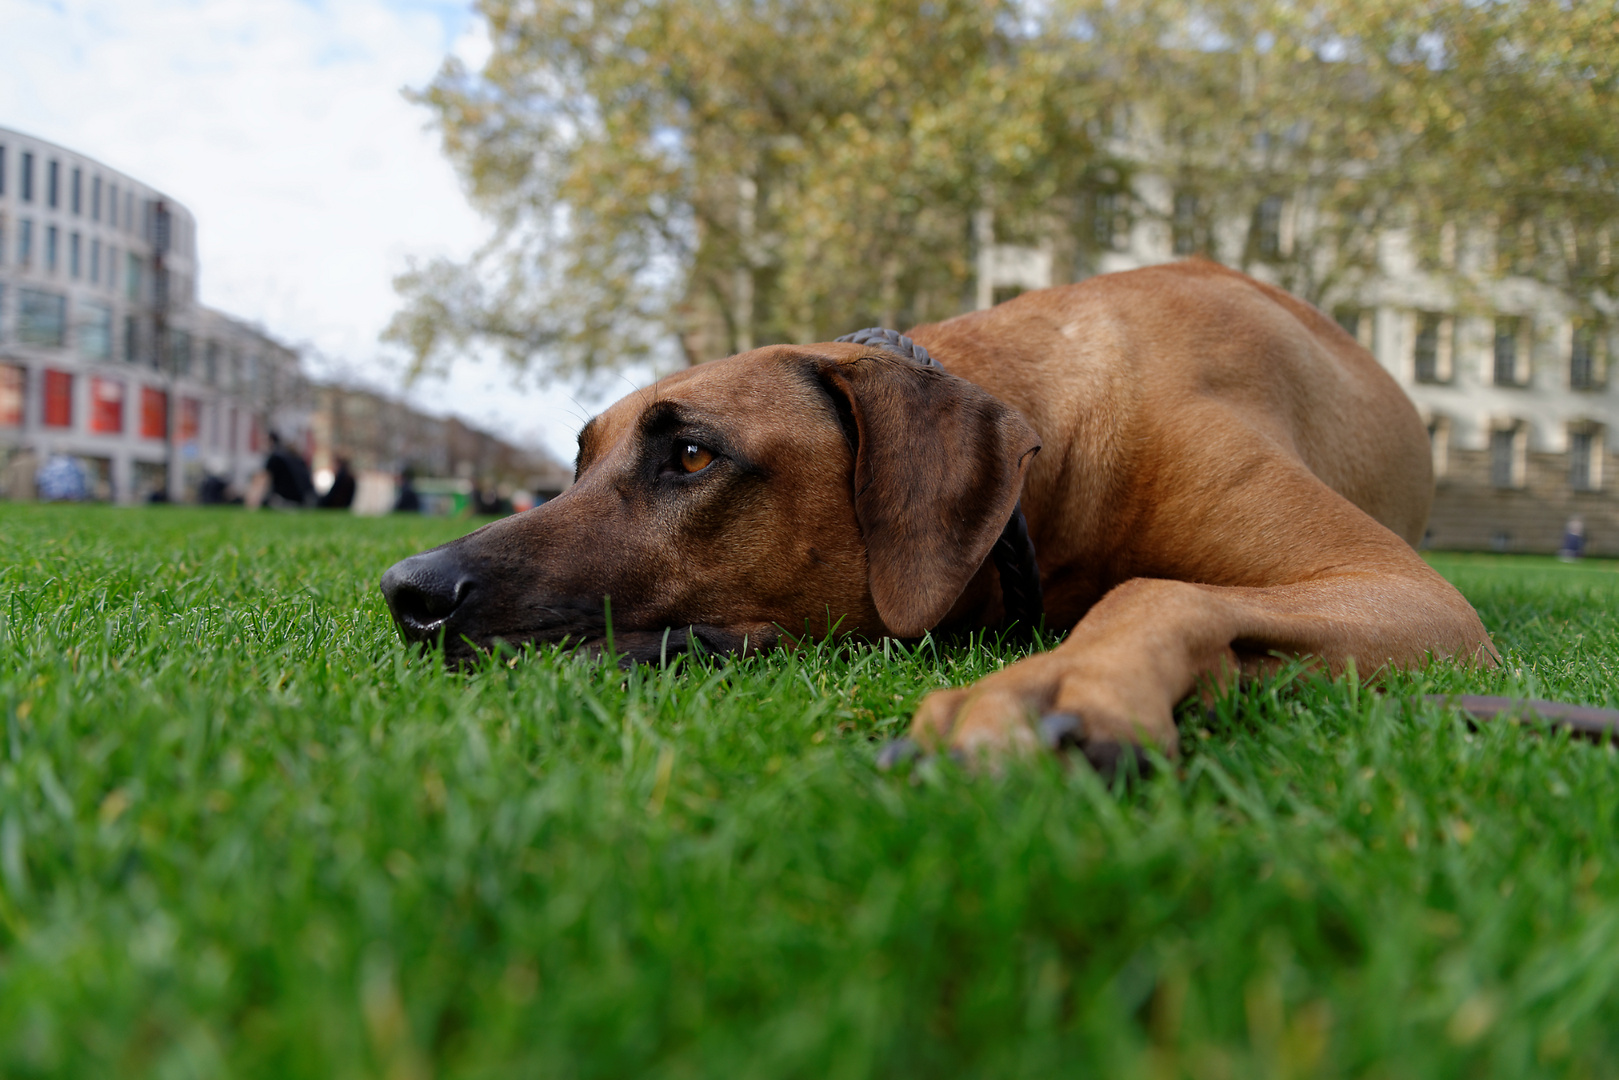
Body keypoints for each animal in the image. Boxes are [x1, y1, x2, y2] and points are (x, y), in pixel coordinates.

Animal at [375, 262, 1489, 764]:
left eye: (690, 455)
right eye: (577, 463)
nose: (407, 591)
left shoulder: (1406, 593)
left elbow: (1151, 587)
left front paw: (1056, 684)